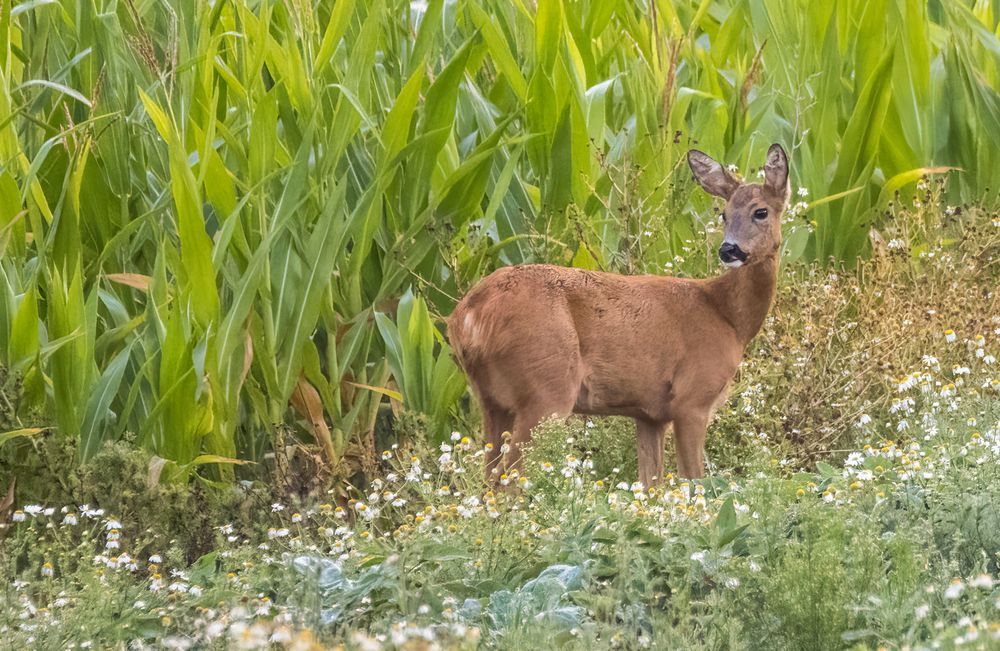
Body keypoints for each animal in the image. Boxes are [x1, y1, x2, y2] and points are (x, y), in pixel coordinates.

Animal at [448, 145, 788, 486]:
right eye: (724, 214)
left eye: (760, 211)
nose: (729, 249)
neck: (727, 316)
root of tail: (468, 316)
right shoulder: (692, 397)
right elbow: (693, 480)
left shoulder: (649, 414)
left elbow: (651, 482)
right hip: (547, 384)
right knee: (510, 480)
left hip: (490, 398)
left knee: (489, 479)